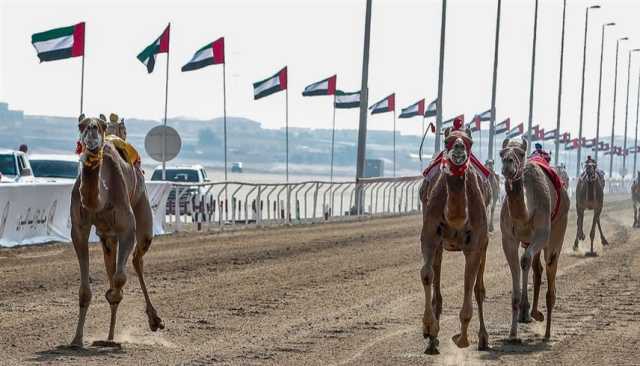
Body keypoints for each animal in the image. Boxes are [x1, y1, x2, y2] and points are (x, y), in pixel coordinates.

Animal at [69, 114, 164, 346]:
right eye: (81, 125)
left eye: (100, 126)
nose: (92, 131)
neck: (100, 199)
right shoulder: (79, 228)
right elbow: (85, 290)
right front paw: (76, 339)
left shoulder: (127, 227)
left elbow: (120, 278)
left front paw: (113, 294)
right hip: (107, 237)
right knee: (113, 267)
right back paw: (109, 336)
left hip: (142, 206)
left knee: (137, 259)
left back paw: (153, 320)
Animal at [420, 118, 490, 354]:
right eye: (447, 140)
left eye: (469, 142)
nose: (459, 148)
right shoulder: (429, 236)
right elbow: (427, 275)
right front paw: (429, 328)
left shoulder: (475, 244)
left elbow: (469, 284)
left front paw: (462, 339)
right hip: (441, 246)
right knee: (437, 282)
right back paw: (432, 341)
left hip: (485, 243)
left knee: (478, 288)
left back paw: (483, 338)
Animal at [500, 137, 568, 340]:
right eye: (501, 152)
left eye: (521, 153)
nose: (507, 163)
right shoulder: (508, 238)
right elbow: (520, 265)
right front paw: (513, 334)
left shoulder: (542, 233)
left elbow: (525, 260)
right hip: (529, 241)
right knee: (536, 269)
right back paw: (532, 313)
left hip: (558, 229)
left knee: (550, 265)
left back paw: (547, 332)